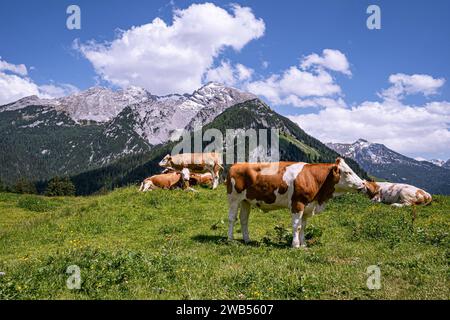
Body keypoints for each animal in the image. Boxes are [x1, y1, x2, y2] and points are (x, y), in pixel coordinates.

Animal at [227, 158, 368, 248]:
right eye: (348, 172)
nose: (363, 184)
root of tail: (236, 165)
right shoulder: (297, 204)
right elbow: (297, 226)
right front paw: (295, 245)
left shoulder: (307, 206)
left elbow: (303, 227)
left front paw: (303, 244)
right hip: (234, 198)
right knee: (232, 219)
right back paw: (230, 239)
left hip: (246, 201)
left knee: (243, 219)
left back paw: (247, 240)